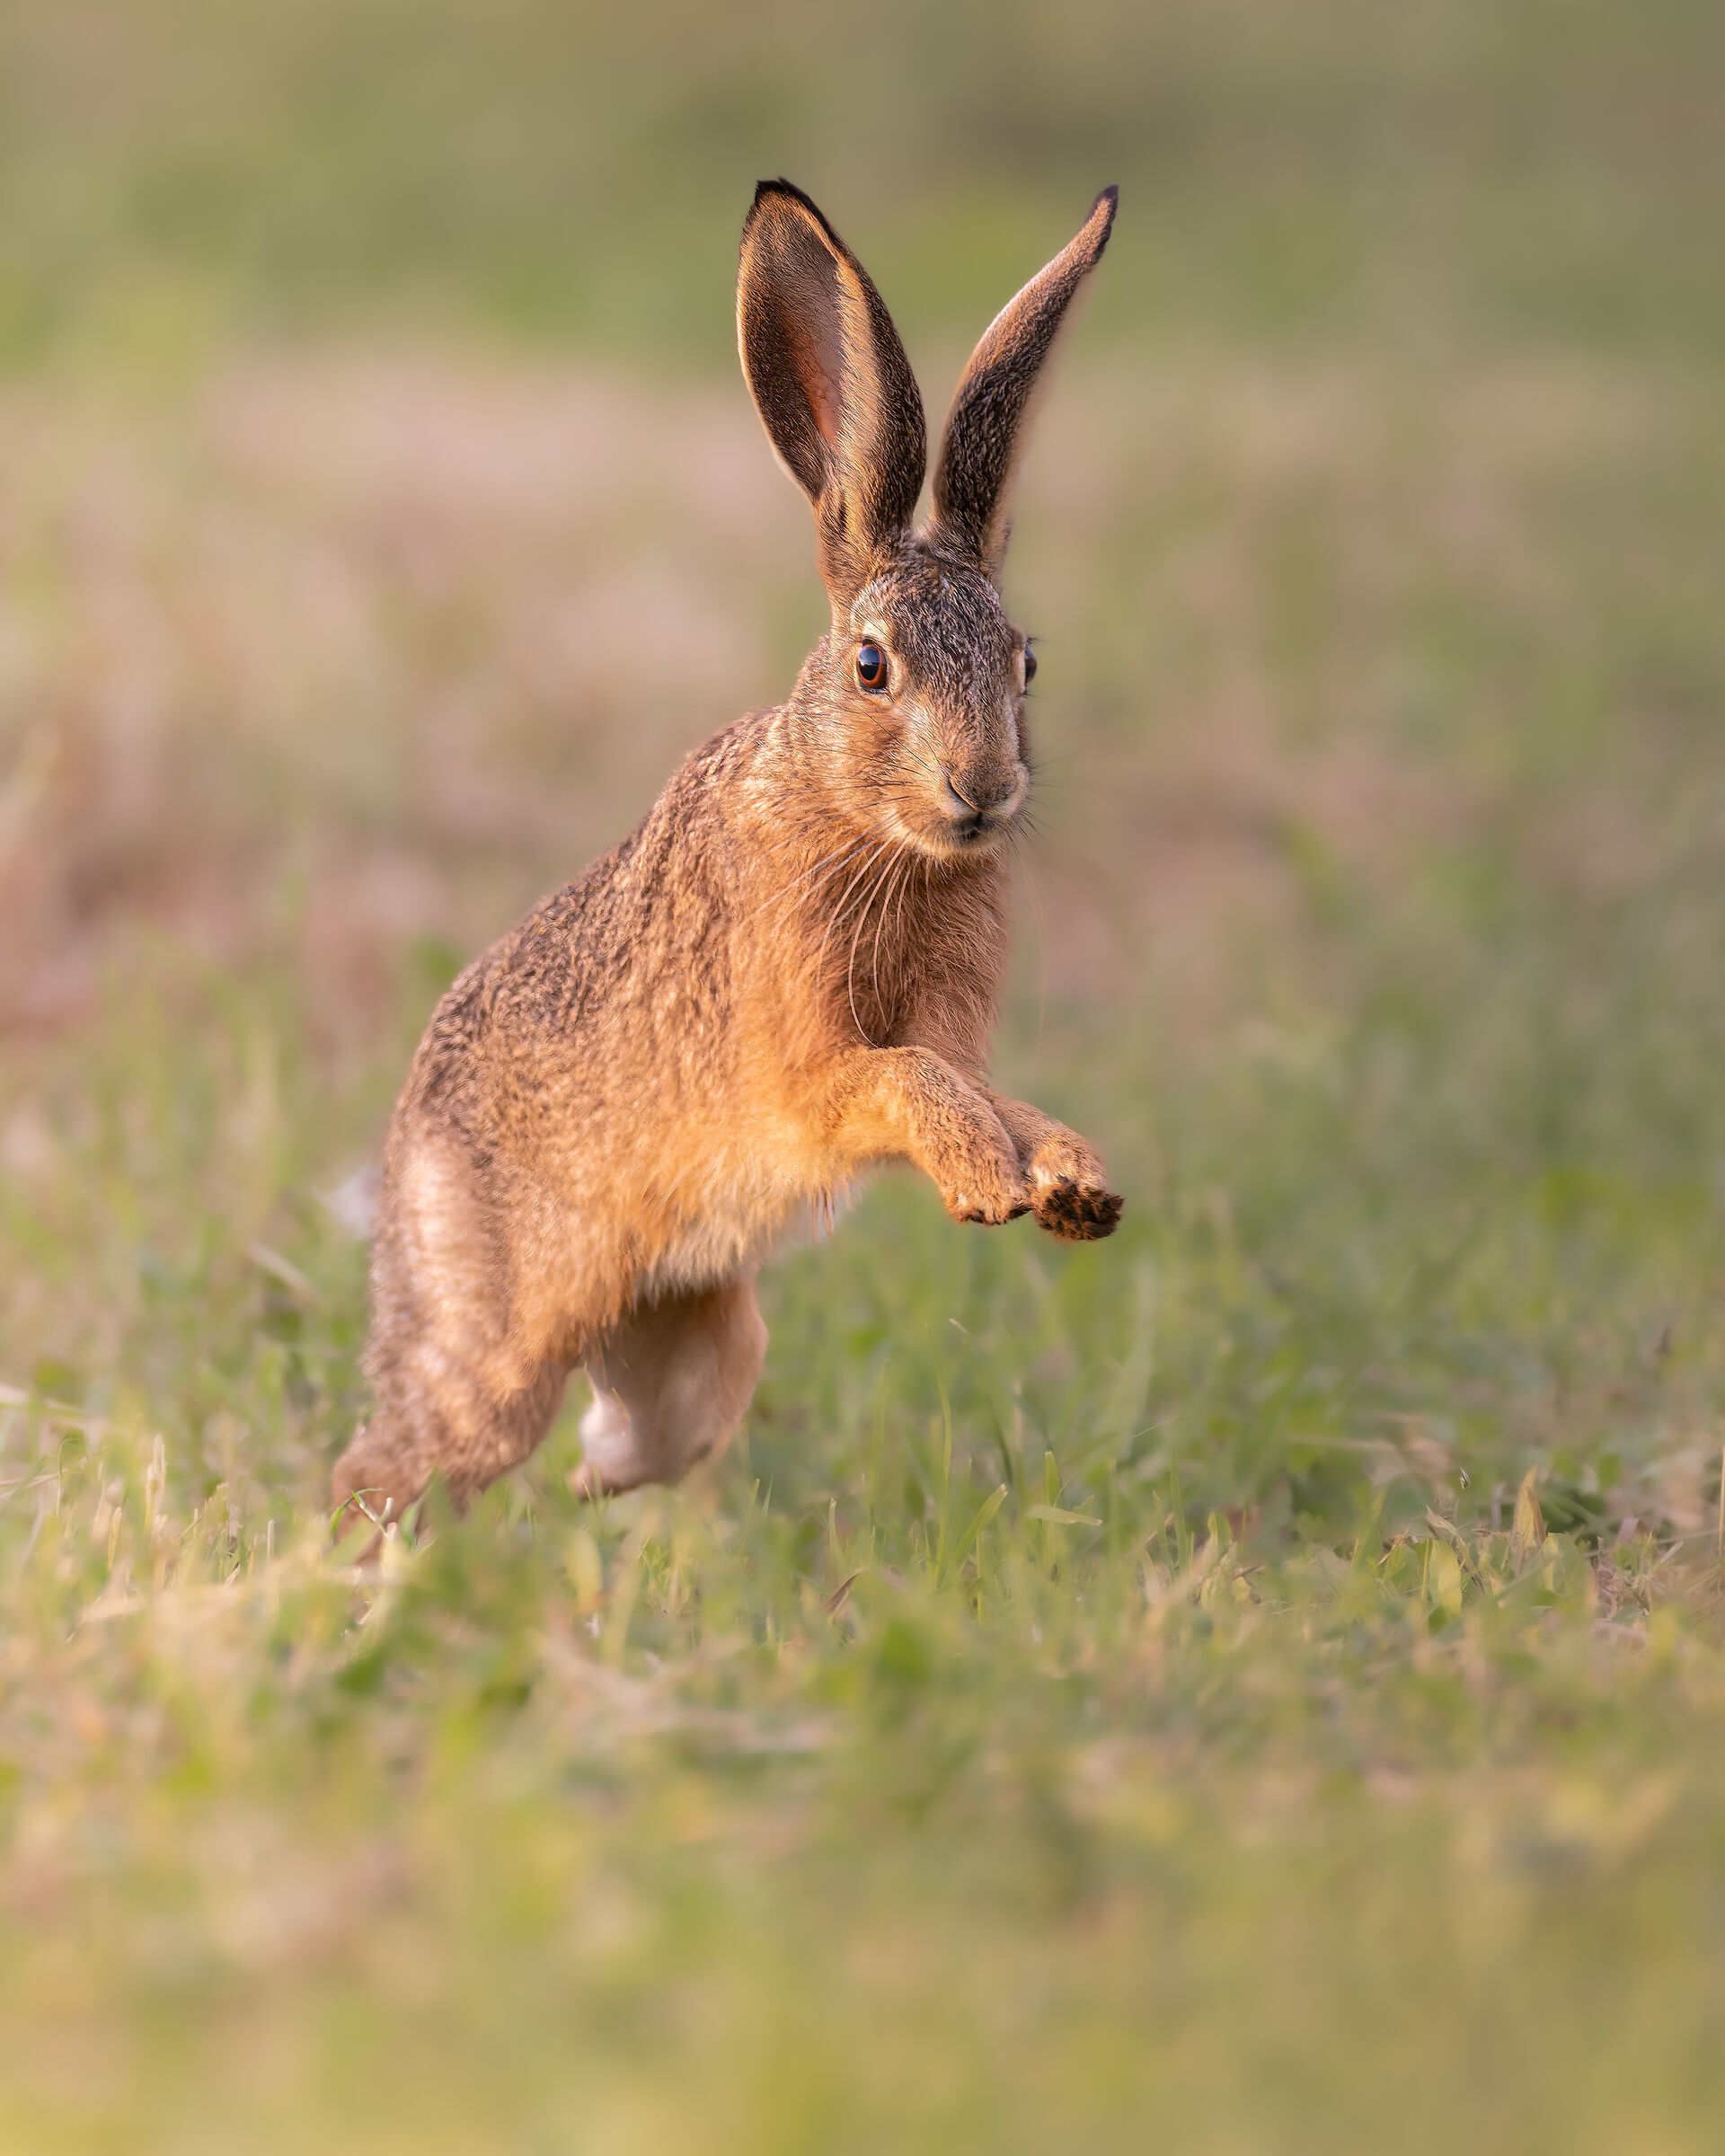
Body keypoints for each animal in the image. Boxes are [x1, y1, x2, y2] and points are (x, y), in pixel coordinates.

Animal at [331, 178, 1123, 1534]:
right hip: (486, 1364)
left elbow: (980, 1083)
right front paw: (987, 1176)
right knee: (388, 1466)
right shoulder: (808, 1067)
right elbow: (902, 1080)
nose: (982, 792)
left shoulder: (953, 1023)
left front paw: (1070, 1182)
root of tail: (403, 1159)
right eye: (872, 667)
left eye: (1026, 662)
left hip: (701, 1348)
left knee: (628, 1441)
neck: (863, 824)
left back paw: (592, 1482)